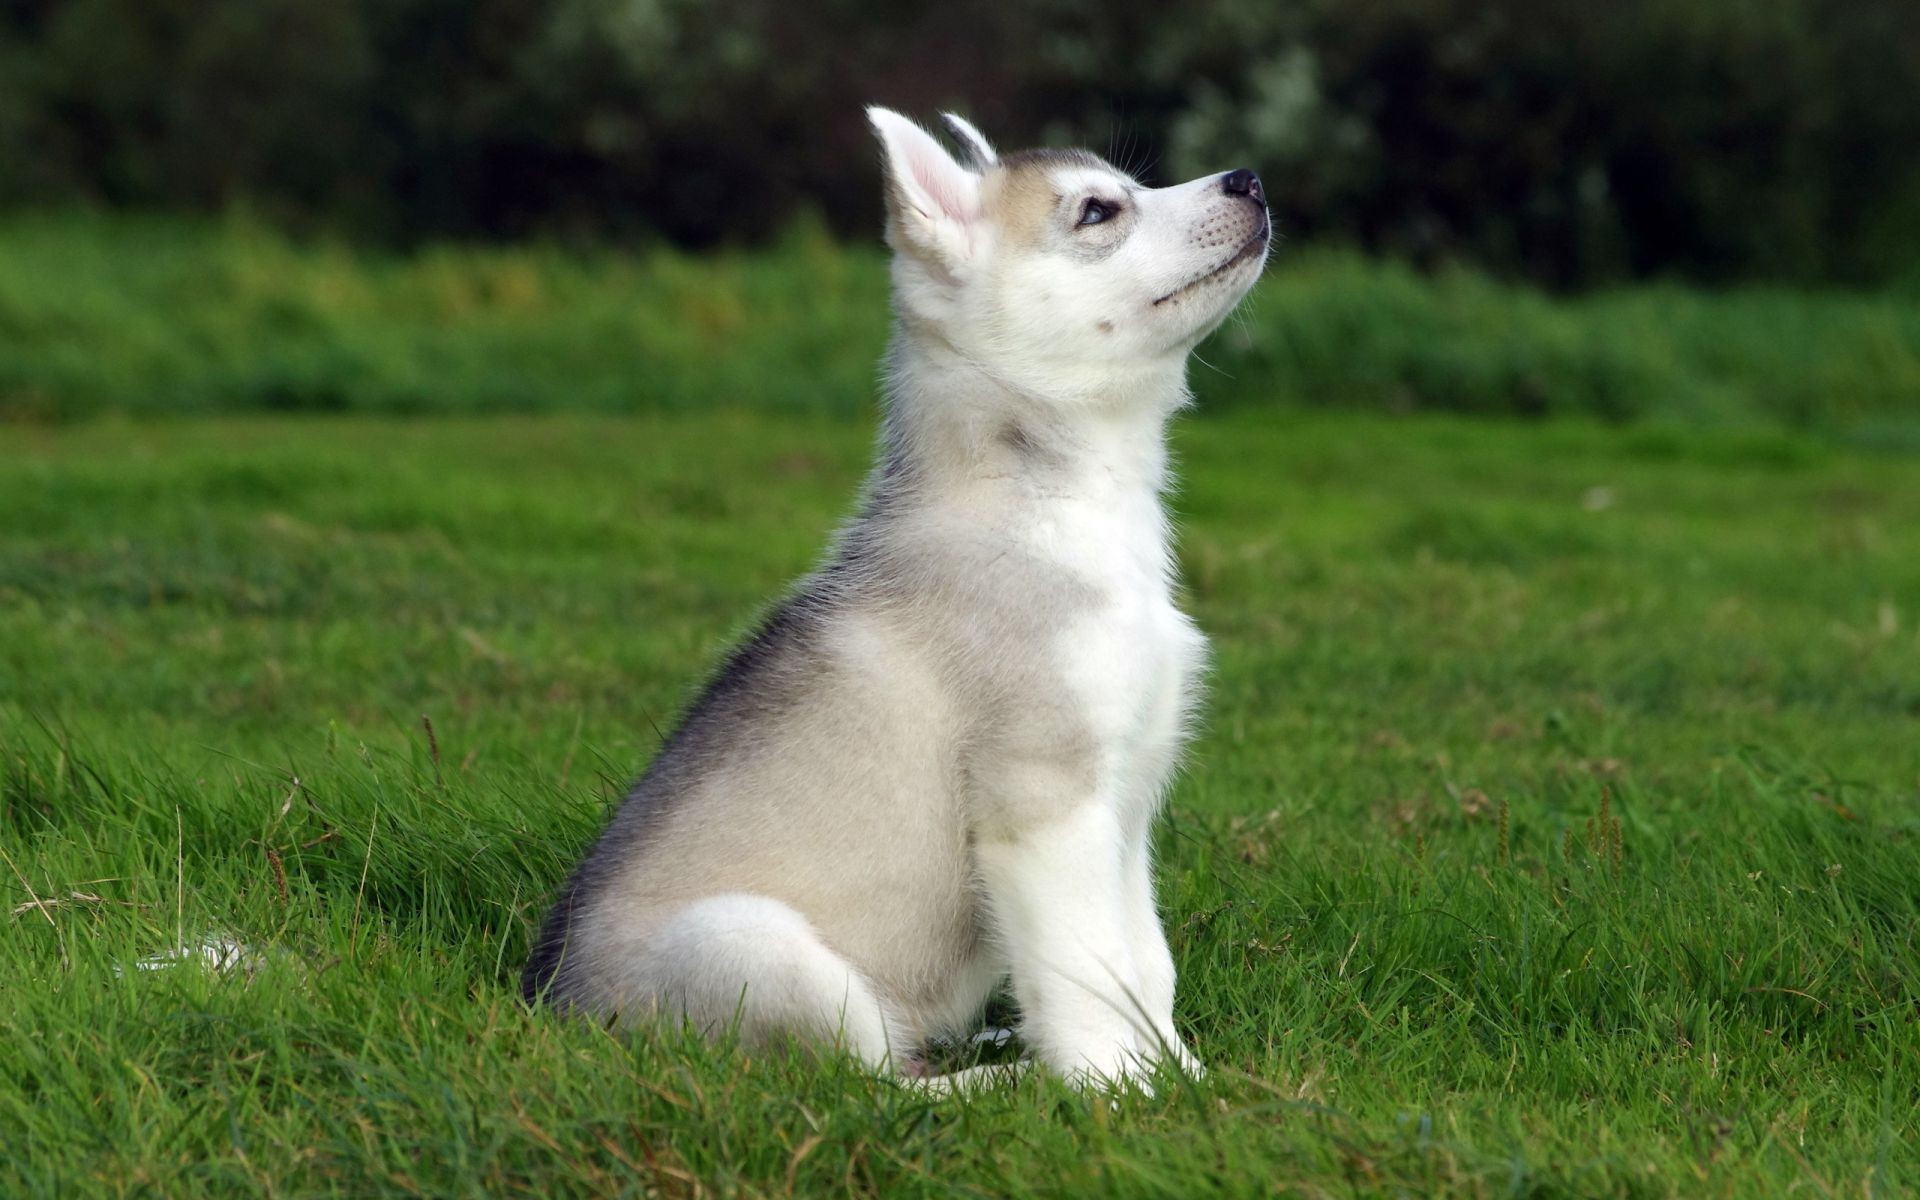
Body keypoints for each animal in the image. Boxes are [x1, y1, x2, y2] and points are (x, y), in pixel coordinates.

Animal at [518, 109, 1267, 1082]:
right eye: (1098, 211)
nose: (1250, 180)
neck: (1052, 497)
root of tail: (552, 1012)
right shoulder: (1047, 803)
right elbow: (1091, 972)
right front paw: (1112, 1092)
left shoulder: (1127, 805)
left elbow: (1143, 962)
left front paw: (1185, 1078)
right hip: (770, 954)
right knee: (874, 1085)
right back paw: (1004, 1079)